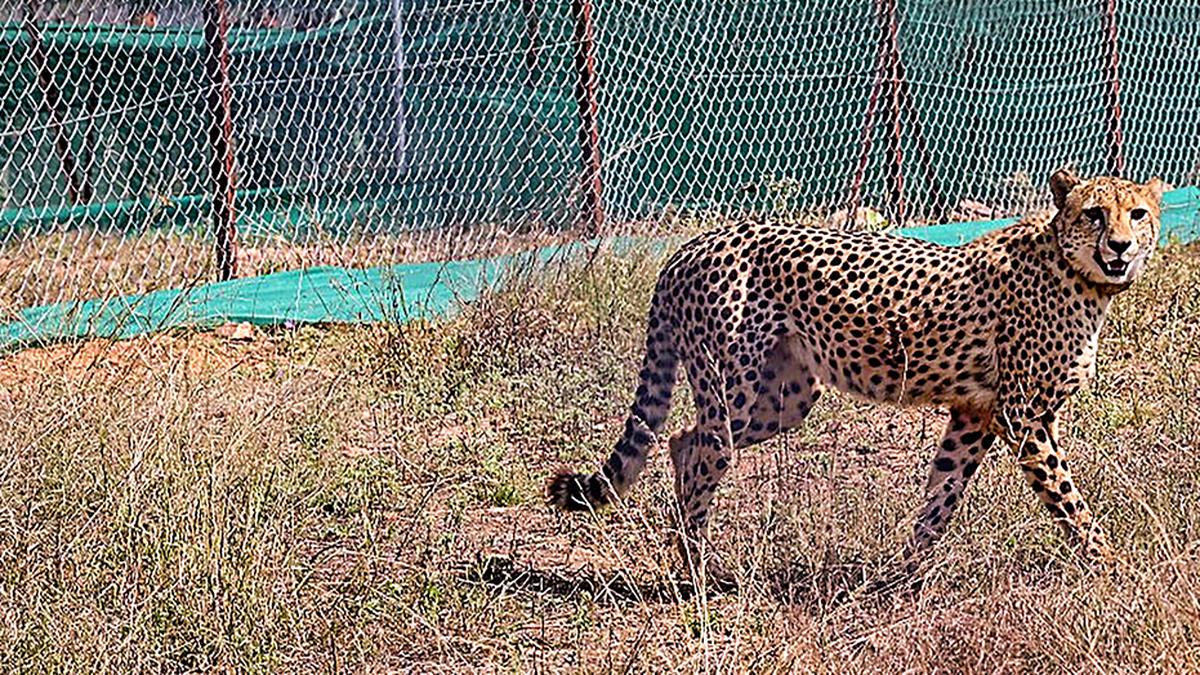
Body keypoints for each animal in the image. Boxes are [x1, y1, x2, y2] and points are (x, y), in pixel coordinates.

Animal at [549, 166, 1161, 578]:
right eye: (1094, 213)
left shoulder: (975, 414)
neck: (1076, 272)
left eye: (1138, 214)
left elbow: (941, 496)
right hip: (734, 389)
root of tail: (689, 246)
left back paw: (692, 555)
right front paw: (1112, 567)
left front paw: (903, 577)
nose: (1121, 246)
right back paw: (699, 573)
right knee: (703, 451)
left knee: (681, 440)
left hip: (785, 399)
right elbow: (1069, 501)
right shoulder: (1022, 418)